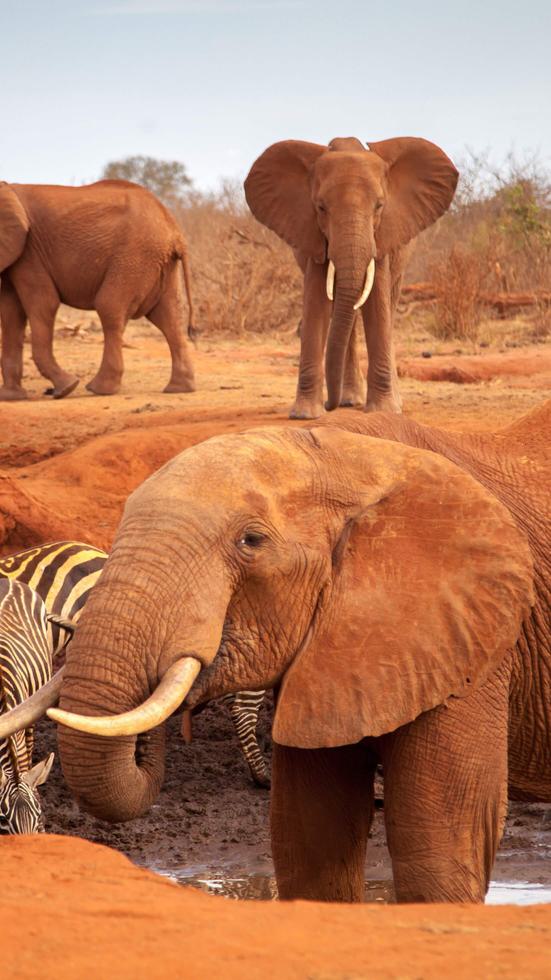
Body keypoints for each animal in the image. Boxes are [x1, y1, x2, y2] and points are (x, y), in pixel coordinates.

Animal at [0, 180, 196, 400]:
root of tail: (174, 230)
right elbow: (11, 312)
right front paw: (10, 397)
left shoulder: (29, 253)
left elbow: (44, 303)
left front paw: (66, 388)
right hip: (161, 264)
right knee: (169, 317)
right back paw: (179, 388)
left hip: (134, 257)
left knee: (109, 307)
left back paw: (99, 389)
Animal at [244, 136, 458, 419]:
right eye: (320, 208)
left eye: (379, 206)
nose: (329, 405)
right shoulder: (312, 234)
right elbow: (315, 301)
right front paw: (304, 415)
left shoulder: (382, 235)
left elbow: (377, 302)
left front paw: (384, 411)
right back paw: (350, 400)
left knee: (387, 306)